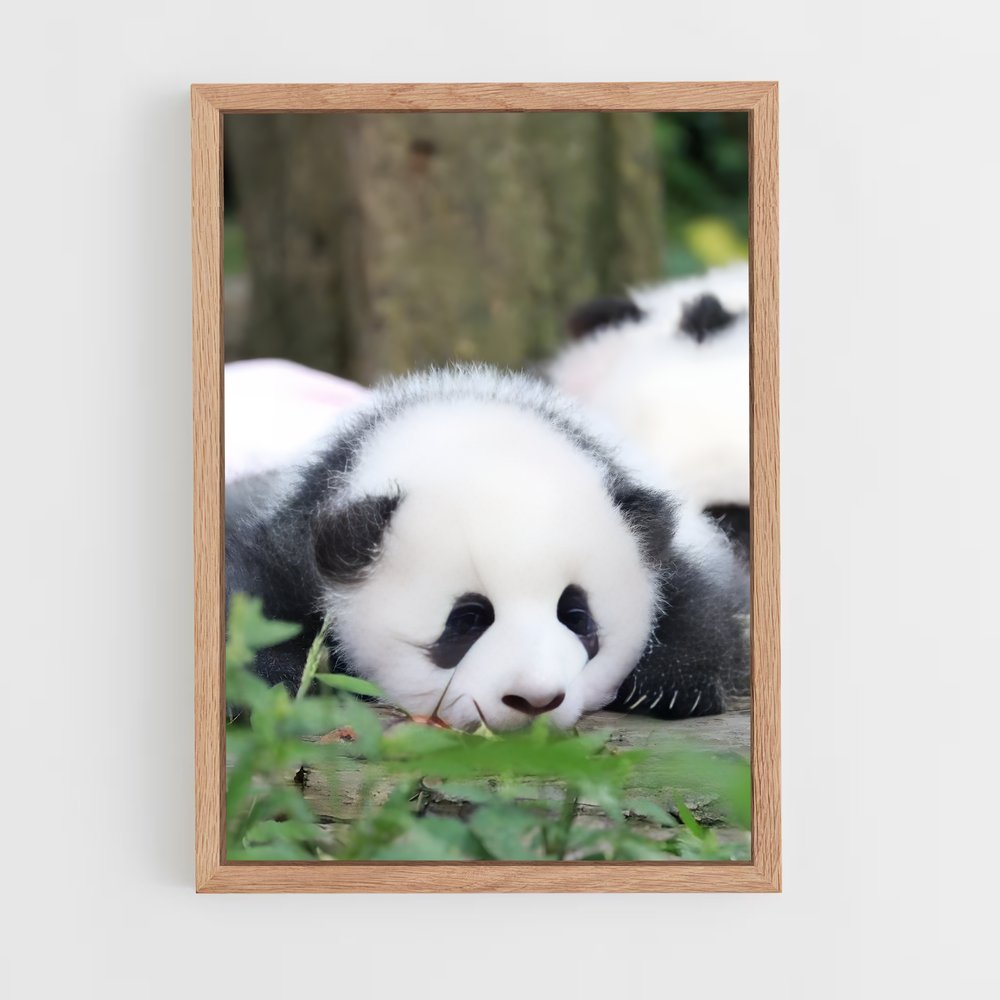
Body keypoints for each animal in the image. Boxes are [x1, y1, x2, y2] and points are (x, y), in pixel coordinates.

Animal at [226, 365, 748, 732]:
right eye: (468, 620)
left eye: (576, 617)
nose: (533, 700)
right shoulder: (301, 520)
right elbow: (252, 594)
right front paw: (276, 680)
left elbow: (698, 592)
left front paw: (672, 685)